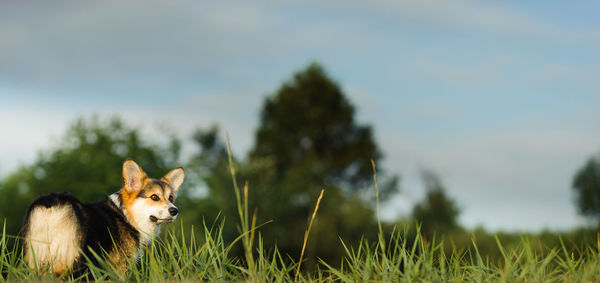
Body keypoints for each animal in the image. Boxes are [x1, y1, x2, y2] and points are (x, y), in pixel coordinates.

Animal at [21, 160, 184, 278]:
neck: (127, 215)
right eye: (154, 197)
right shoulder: (119, 266)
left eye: (171, 198)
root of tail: (51, 201)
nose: (174, 211)